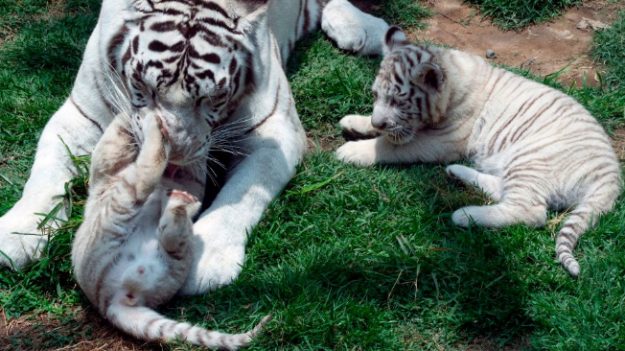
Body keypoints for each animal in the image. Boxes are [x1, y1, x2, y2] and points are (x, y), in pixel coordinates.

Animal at [0, 0, 388, 296]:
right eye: (142, 85)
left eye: (212, 97)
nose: (173, 153)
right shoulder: (78, 116)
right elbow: (45, 175)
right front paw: (16, 236)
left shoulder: (278, 132)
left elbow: (243, 197)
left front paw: (205, 259)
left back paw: (365, 29)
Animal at [338, 26, 620, 276]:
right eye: (375, 95)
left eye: (397, 101)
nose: (378, 122)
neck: (451, 84)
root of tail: (611, 176)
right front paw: (354, 121)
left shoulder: (441, 141)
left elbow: (390, 145)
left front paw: (351, 151)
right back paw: (457, 173)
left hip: (529, 159)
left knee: (530, 210)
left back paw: (464, 215)